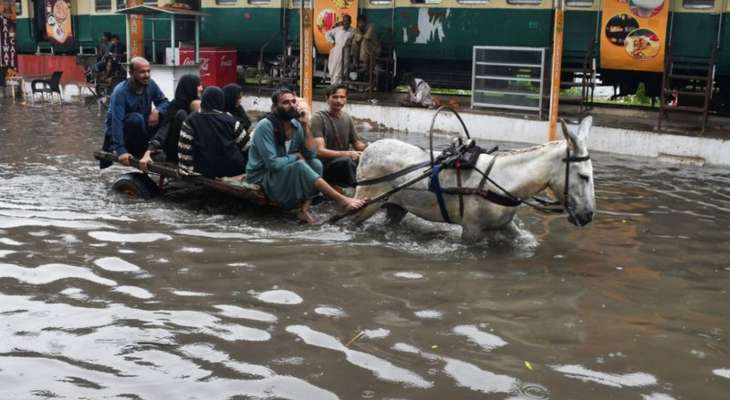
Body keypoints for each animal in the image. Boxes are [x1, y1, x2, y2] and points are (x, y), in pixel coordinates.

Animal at [350, 115, 596, 241]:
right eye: (584, 176)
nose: (588, 216)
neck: (505, 181)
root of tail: (368, 149)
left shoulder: (506, 226)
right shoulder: (471, 231)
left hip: (395, 207)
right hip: (366, 204)